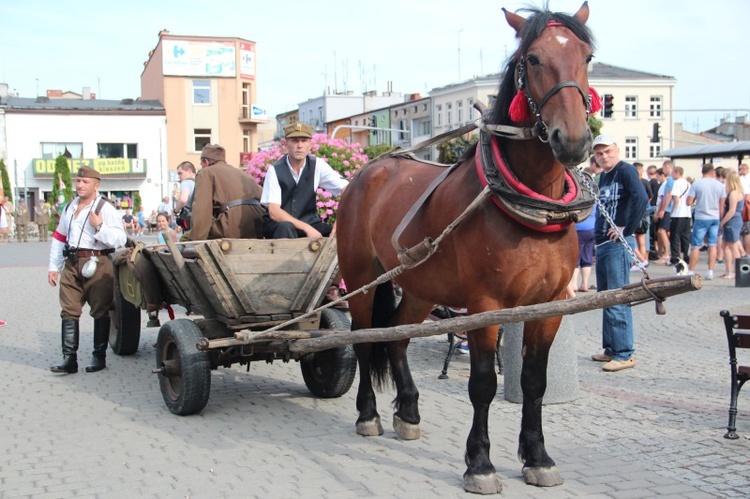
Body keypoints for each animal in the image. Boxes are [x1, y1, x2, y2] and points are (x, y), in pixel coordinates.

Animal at [338, 2, 596, 496]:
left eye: (587, 57)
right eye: (532, 59)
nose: (572, 140)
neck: (528, 206)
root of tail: (367, 171)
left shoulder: (550, 304)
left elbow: (534, 381)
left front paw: (538, 456)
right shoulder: (484, 305)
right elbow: (482, 385)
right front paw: (480, 463)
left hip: (420, 286)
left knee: (397, 335)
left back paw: (408, 411)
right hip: (362, 279)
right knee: (364, 339)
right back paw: (368, 414)